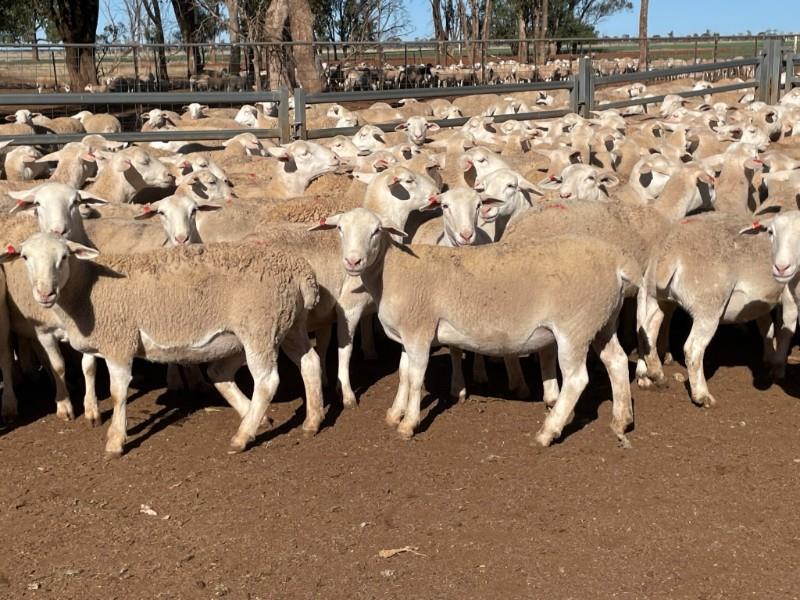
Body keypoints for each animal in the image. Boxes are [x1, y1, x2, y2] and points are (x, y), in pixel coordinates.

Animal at [0, 235, 323, 456]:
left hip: (260, 327)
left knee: (267, 381)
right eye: (25, 257)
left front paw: (115, 440)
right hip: (287, 324)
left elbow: (118, 393)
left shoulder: (120, 340)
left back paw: (242, 436)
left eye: (64, 257)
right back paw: (310, 420)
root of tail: (301, 273)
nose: (45, 293)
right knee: (309, 363)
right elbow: (89, 369)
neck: (88, 288)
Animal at [310, 207, 636, 447]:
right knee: (617, 362)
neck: (392, 271)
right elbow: (403, 374)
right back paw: (621, 420)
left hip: (574, 328)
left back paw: (548, 431)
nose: (353, 261)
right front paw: (394, 414)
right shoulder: (409, 334)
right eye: (340, 229)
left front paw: (408, 424)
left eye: (376, 231)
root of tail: (616, 265)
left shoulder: (419, 332)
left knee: (577, 380)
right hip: (601, 321)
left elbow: (415, 378)